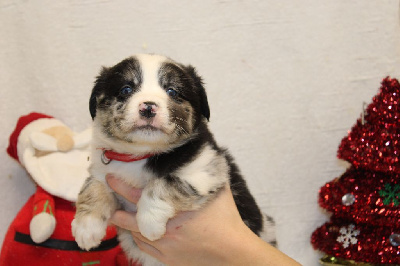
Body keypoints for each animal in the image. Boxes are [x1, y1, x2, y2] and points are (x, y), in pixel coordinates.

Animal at [72, 54, 276, 266]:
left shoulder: (207, 168)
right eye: (126, 89)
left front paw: (149, 222)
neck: (143, 153)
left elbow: (164, 184)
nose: (148, 108)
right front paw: (86, 227)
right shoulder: (102, 172)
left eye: (172, 91)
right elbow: (92, 187)